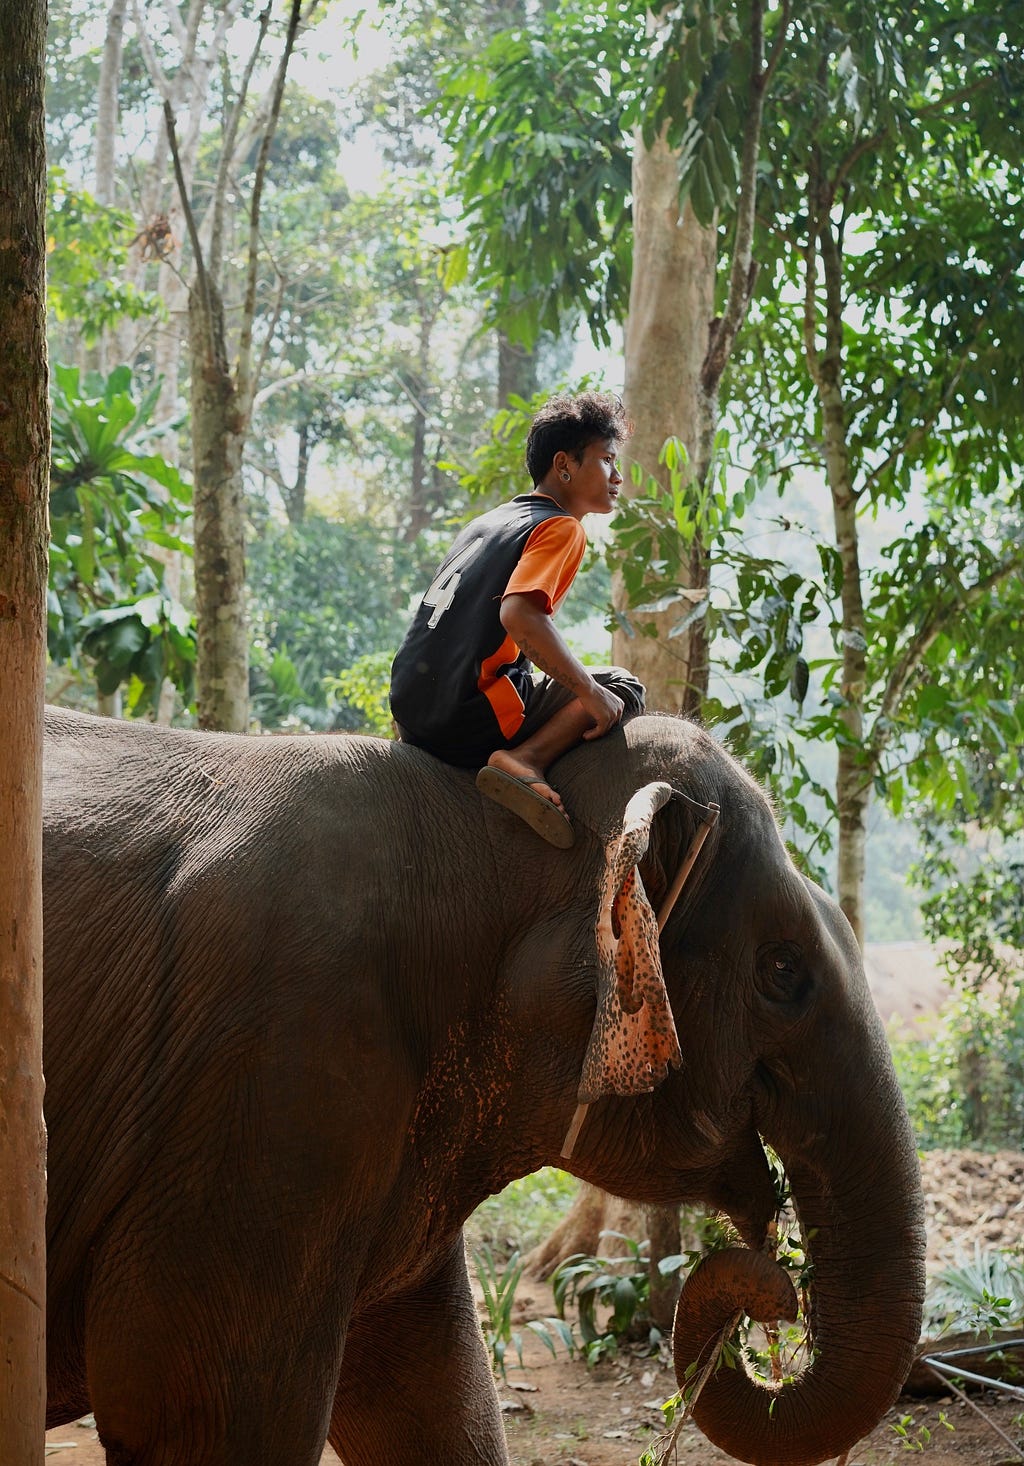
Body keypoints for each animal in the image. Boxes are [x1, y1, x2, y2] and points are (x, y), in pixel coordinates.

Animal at [39, 703, 921, 1460]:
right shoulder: (272, 1081)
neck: (470, 822)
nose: (776, 1292)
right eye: (784, 973)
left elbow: (435, 1399)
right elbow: (200, 1417)